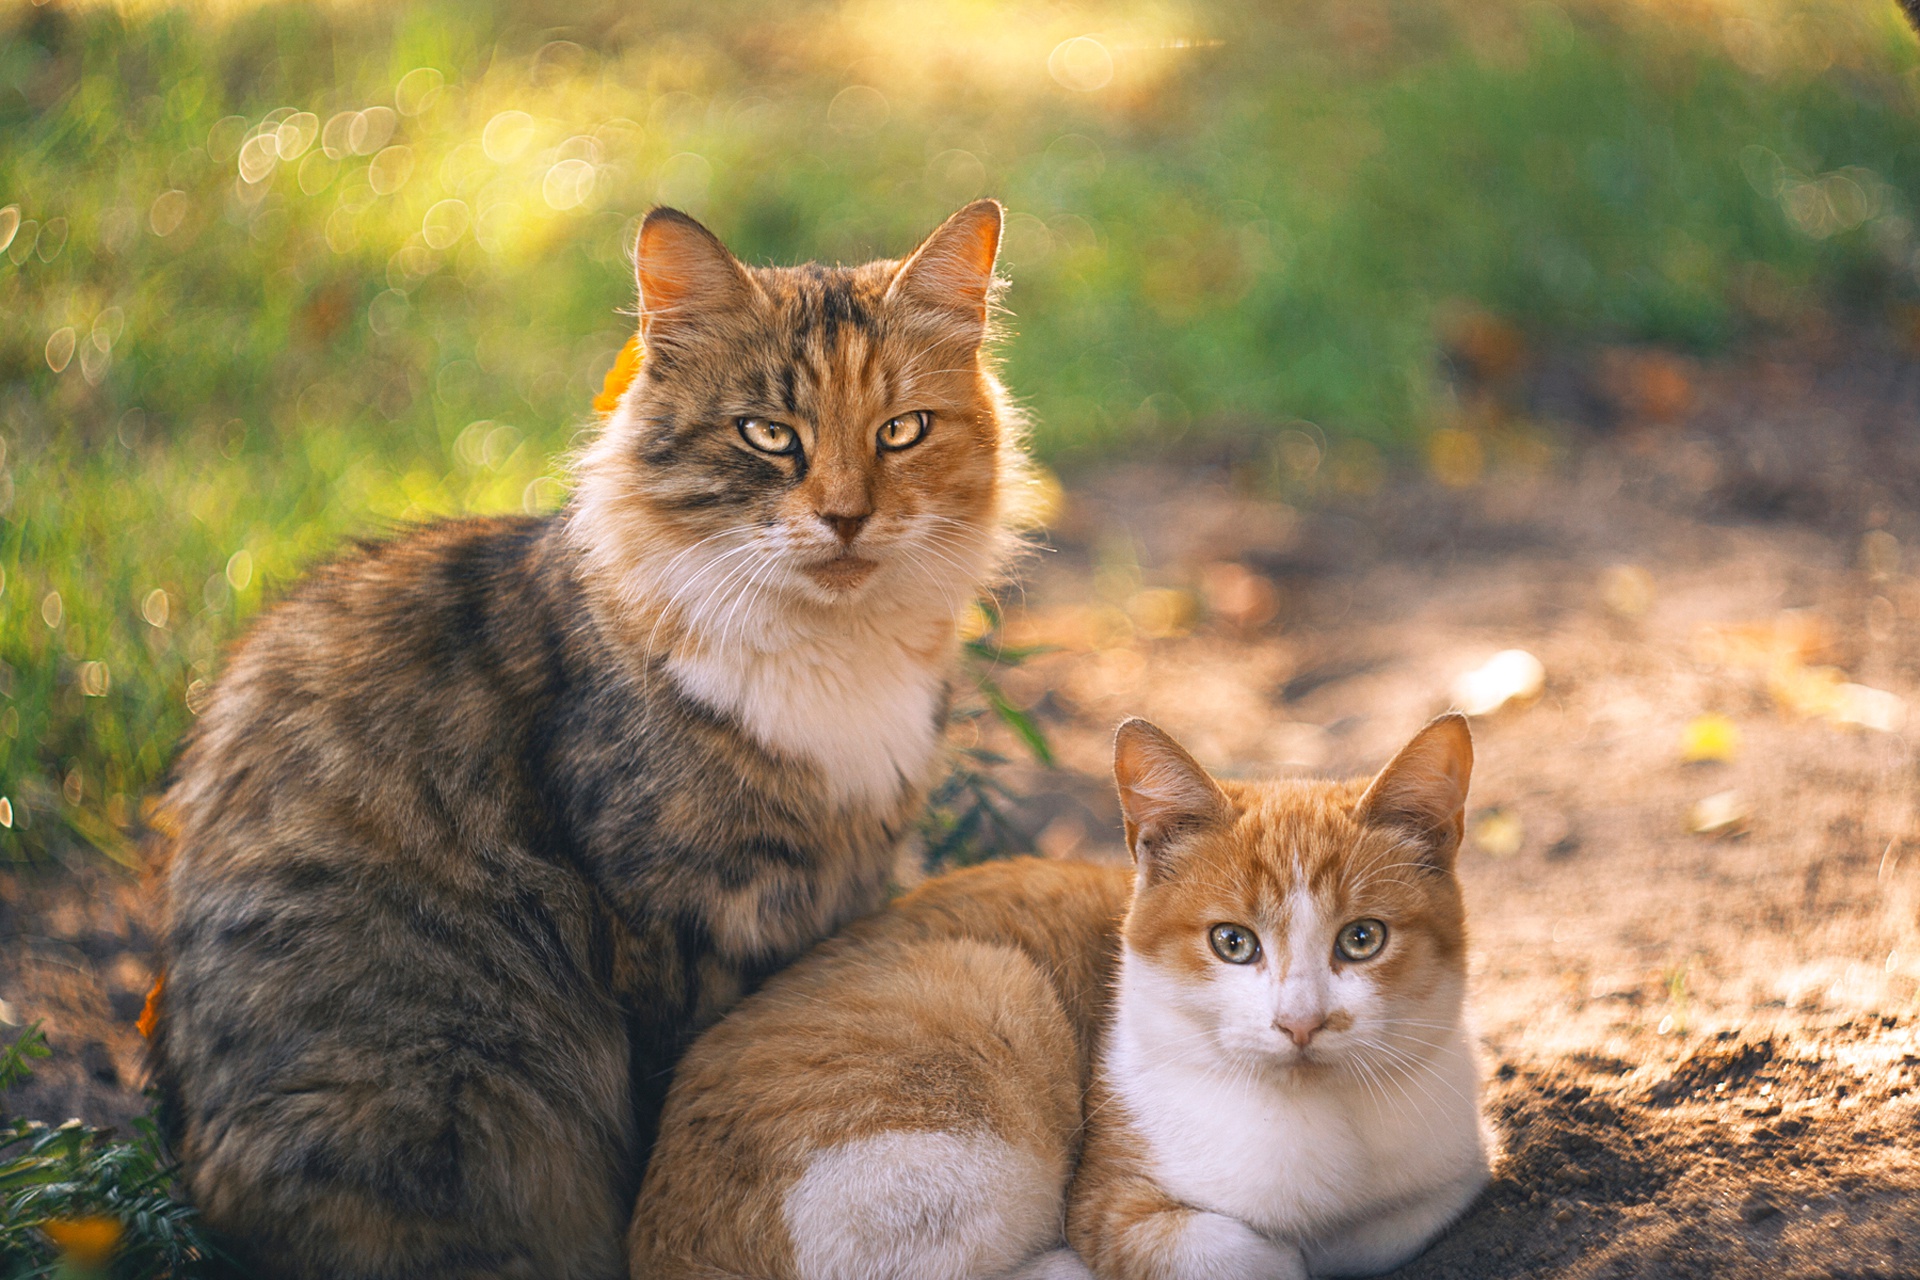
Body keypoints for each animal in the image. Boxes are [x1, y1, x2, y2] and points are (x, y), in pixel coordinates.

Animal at [145, 202, 1036, 1280]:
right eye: (769, 435)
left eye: (901, 431)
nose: (845, 516)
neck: (832, 661)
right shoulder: (670, 927)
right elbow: (668, 1099)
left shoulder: (839, 892)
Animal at [629, 717, 1482, 1274]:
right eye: (1232, 943)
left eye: (1362, 939)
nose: (1301, 1022)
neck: (1321, 1125)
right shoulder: (1107, 1202)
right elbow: (1246, 1252)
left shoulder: (1452, 1174)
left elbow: (1382, 1228)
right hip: (988, 1028)